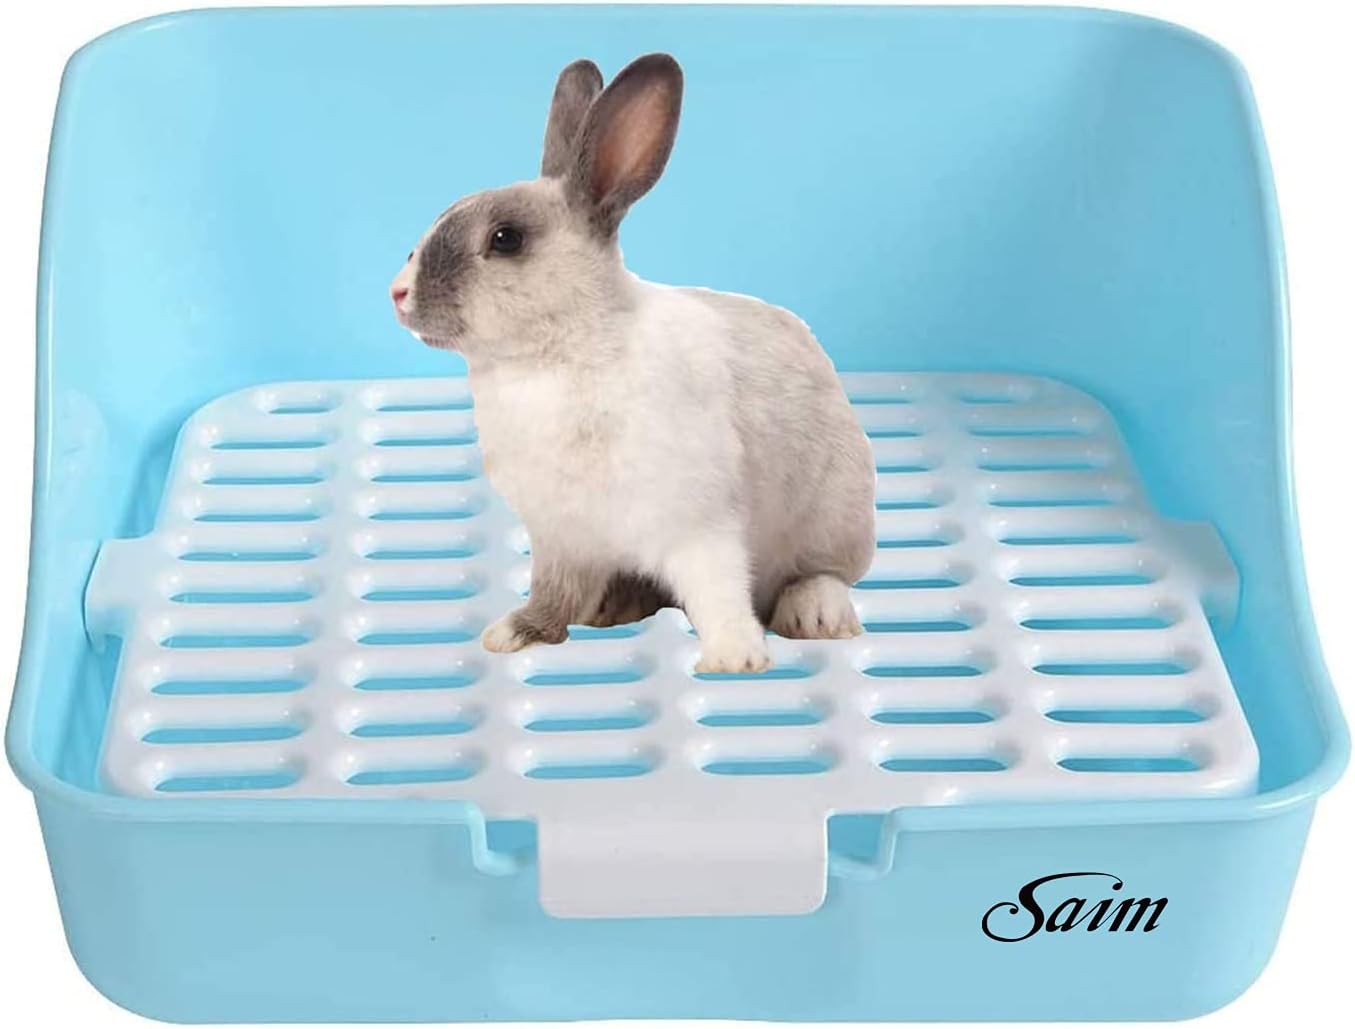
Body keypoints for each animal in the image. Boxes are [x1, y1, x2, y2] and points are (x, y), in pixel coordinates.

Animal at [390, 53, 875, 673]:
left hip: (834, 516)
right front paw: (517, 633)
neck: (555, 356)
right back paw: (612, 604)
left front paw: (733, 659)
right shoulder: (562, 537)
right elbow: (552, 592)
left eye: (505, 239)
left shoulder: (700, 525)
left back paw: (814, 613)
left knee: (823, 574)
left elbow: (717, 589)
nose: (398, 293)